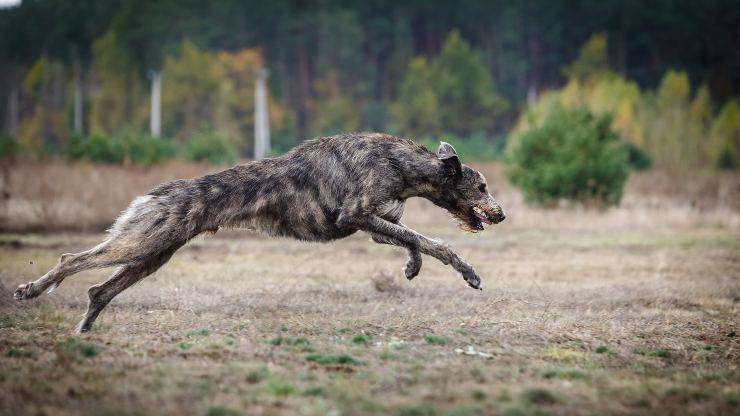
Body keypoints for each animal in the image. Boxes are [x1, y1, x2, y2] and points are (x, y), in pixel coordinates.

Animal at [14, 132, 506, 332]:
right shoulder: (357, 216)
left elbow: (413, 240)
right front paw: (467, 271)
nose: (501, 215)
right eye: (482, 186)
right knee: (72, 259)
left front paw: (413, 267)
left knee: (99, 289)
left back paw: (83, 330)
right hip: (144, 241)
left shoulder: (377, 223)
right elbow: (433, 240)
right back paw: (31, 290)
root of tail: (155, 193)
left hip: (153, 255)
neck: (401, 164)